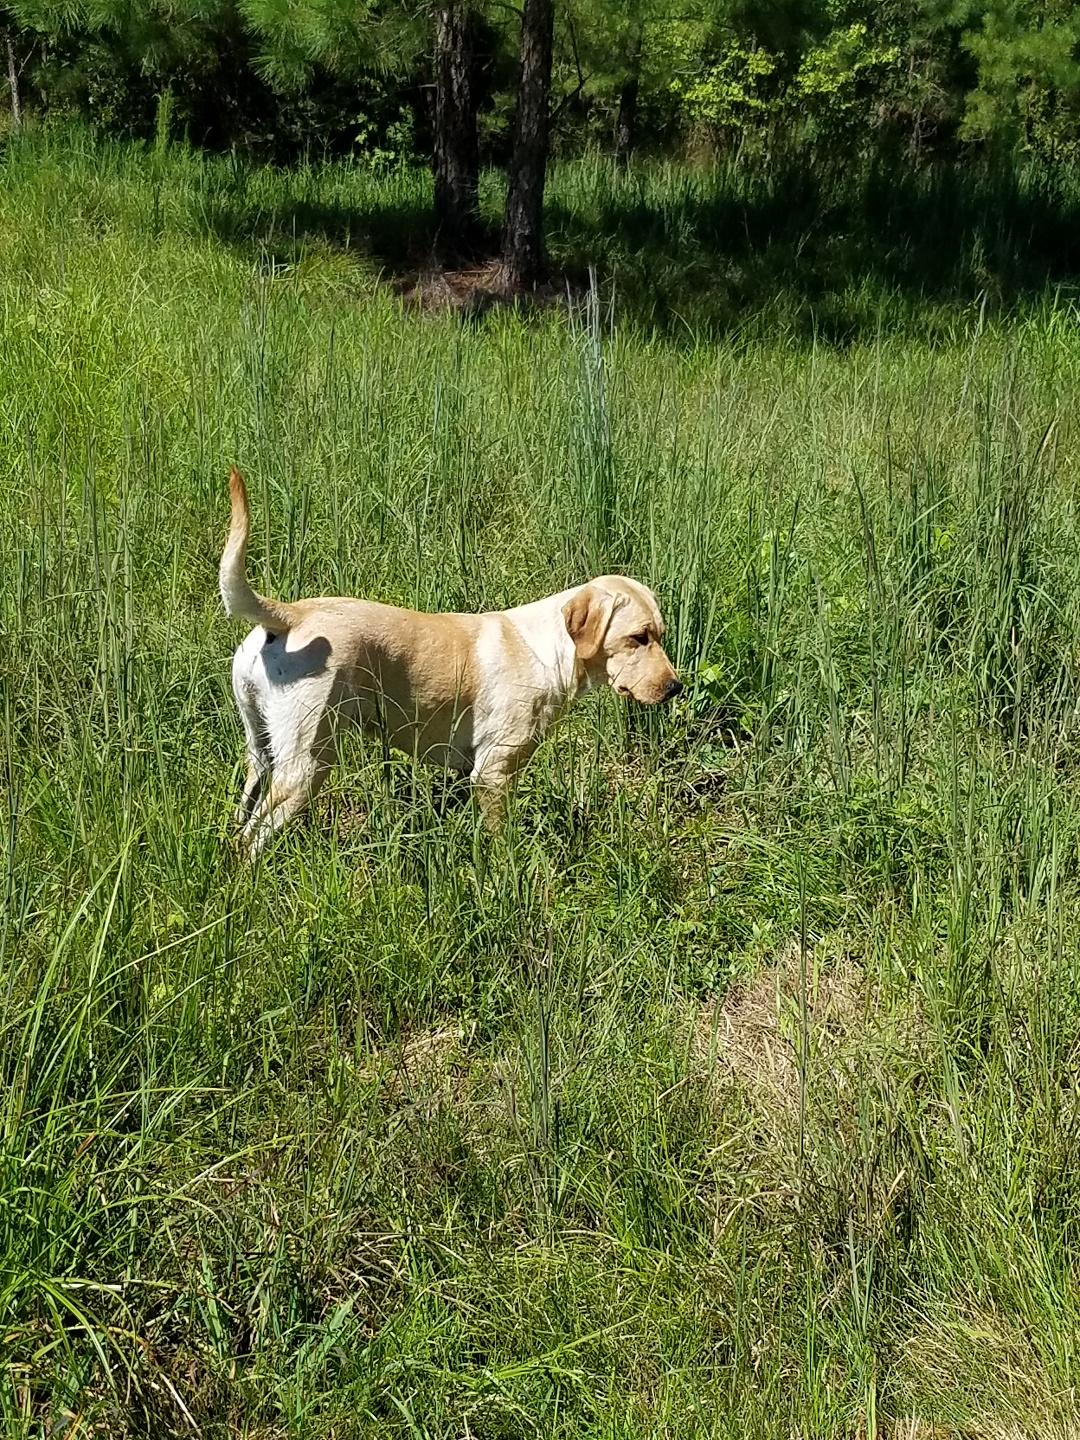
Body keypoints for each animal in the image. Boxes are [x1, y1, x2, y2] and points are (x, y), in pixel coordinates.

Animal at [218, 469, 679, 852]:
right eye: (639, 637)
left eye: (661, 634)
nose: (677, 687)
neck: (549, 650)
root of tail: (292, 613)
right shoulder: (494, 772)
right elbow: (501, 844)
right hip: (306, 766)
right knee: (251, 840)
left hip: (261, 753)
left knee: (241, 822)